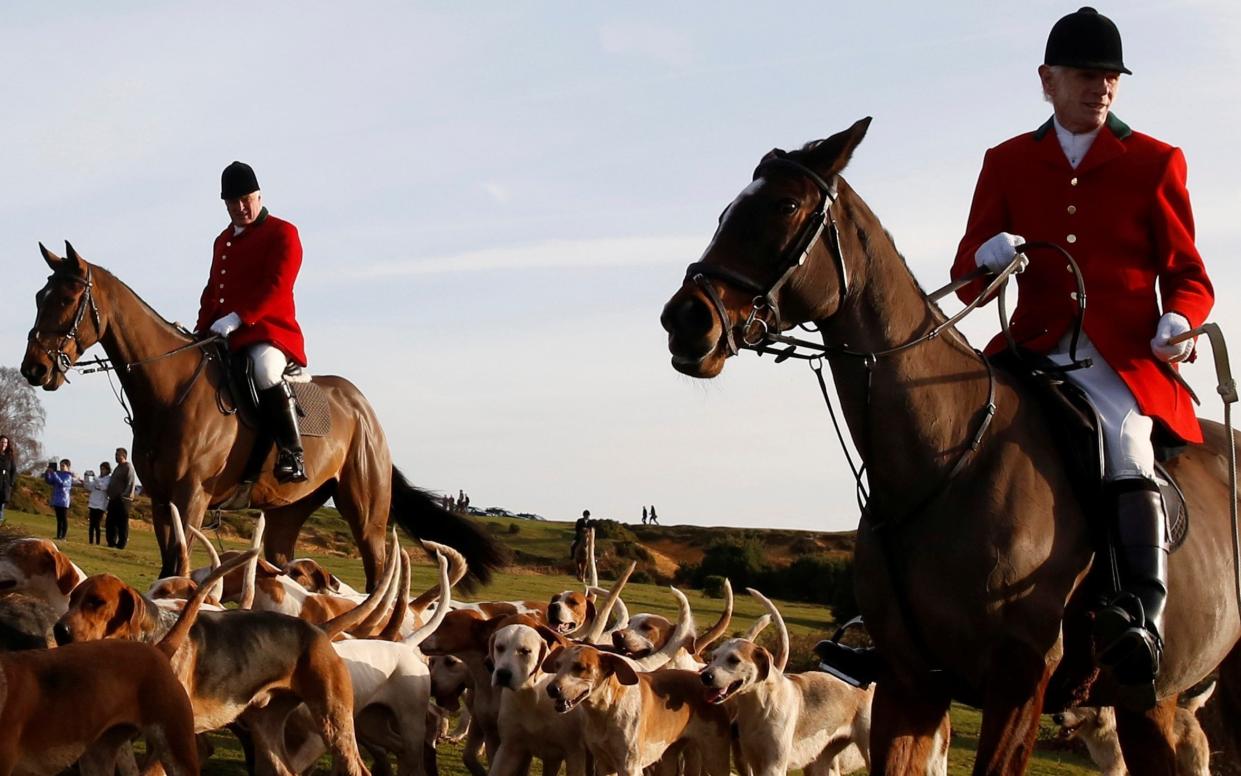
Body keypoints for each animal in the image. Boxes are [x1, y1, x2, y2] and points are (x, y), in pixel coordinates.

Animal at [19, 244, 503, 591]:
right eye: (39, 296)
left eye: (67, 297)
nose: (34, 369)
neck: (170, 389)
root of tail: (365, 412)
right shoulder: (159, 498)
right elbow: (168, 565)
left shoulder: (191, 496)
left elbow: (178, 566)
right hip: (289, 511)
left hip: (366, 513)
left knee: (375, 571)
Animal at [660, 117, 1241, 769]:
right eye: (726, 211)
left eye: (784, 205)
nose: (685, 319)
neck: (946, 457)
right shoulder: (908, 681)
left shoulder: (1019, 683)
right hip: (1149, 700)